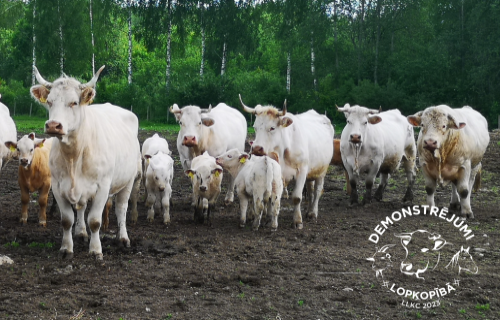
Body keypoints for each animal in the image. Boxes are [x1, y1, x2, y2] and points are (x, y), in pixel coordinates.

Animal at [30, 65, 142, 260]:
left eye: (74, 102)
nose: (53, 125)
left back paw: (123, 238)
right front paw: (67, 248)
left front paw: (96, 250)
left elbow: (95, 221)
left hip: (128, 180)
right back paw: (81, 233)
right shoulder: (58, 186)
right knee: (81, 207)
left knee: (121, 208)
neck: (74, 155)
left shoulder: (103, 186)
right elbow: (67, 220)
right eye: (49, 102)